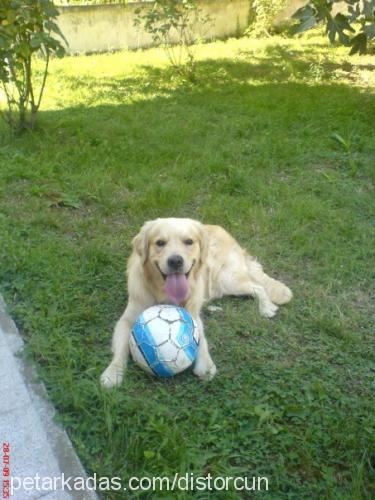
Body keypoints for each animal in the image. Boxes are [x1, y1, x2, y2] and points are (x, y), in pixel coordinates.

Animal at [100, 218, 294, 386]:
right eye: (160, 243)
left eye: (189, 241)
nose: (175, 260)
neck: (164, 293)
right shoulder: (126, 320)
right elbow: (121, 349)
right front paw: (113, 372)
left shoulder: (192, 315)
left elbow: (200, 338)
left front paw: (206, 365)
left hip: (228, 279)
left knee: (258, 287)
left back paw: (266, 307)